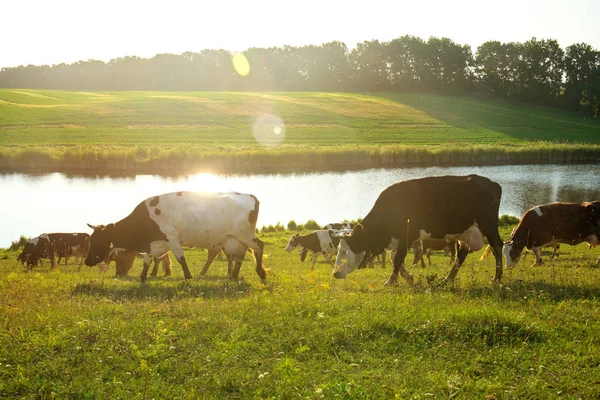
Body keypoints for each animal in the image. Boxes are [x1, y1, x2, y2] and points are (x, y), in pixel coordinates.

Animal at [83, 192, 266, 282]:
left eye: (96, 241)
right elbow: (147, 261)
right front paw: (142, 278)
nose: (87, 261)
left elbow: (181, 258)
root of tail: (250, 196)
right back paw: (233, 276)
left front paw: (188, 277)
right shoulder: (155, 244)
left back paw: (261, 273)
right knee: (239, 257)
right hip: (232, 239)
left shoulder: (172, 238)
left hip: (245, 234)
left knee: (259, 246)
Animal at [336, 175, 504, 284]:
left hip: (488, 224)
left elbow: (398, 258)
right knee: (461, 253)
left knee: (496, 246)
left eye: (345, 251)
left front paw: (391, 280)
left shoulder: (408, 235)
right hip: (465, 232)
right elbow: (394, 258)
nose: (335, 273)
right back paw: (448, 278)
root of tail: (491, 183)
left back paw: (497, 278)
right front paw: (408, 276)